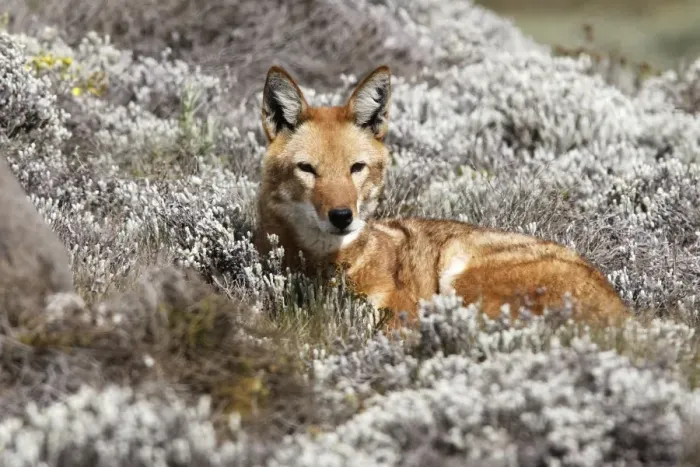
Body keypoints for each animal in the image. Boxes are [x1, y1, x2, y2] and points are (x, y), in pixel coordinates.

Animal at [254, 64, 630, 330]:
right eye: (307, 169)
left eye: (356, 168)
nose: (343, 216)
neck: (325, 267)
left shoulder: (402, 311)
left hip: (460, 272)